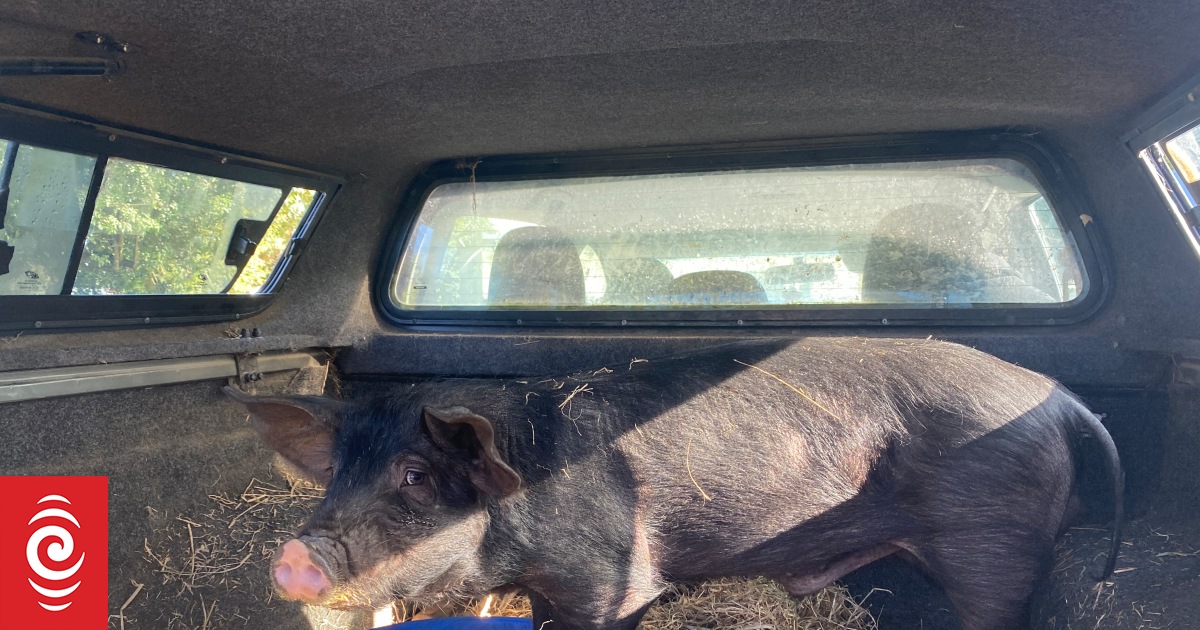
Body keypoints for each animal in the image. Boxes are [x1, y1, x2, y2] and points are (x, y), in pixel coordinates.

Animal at [225, 337, 1123, 630]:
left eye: (414, 474)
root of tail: (1060, 396)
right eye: (339, 471)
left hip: (993, 546)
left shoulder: (607, 583)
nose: (293, 558)